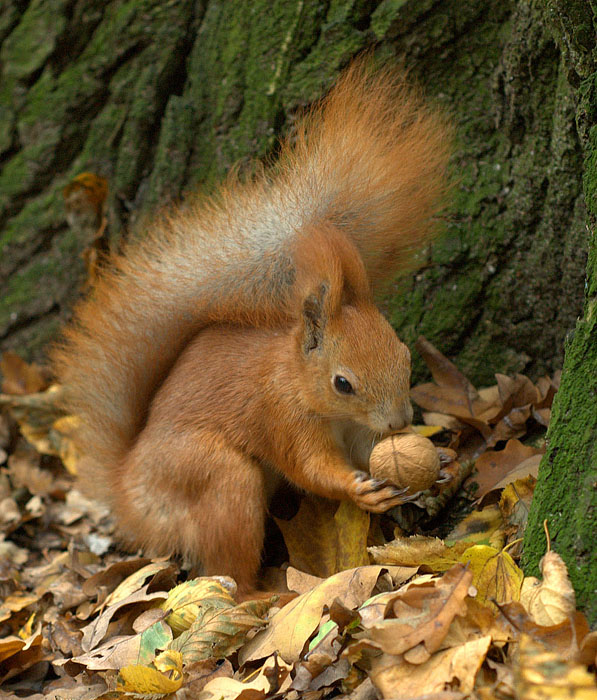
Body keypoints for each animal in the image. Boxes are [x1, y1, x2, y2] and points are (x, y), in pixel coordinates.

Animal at [52, 61, 452, 596]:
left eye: (405, 356)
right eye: (342, 383)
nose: (399, 423)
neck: (299, 381)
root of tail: (131, 495)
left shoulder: (356, 431)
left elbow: (367, 452)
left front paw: (437, 461)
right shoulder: (282, 417)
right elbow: (311, 469)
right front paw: (358, 489)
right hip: (218, 479)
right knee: (227, 565)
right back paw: (263, 593)